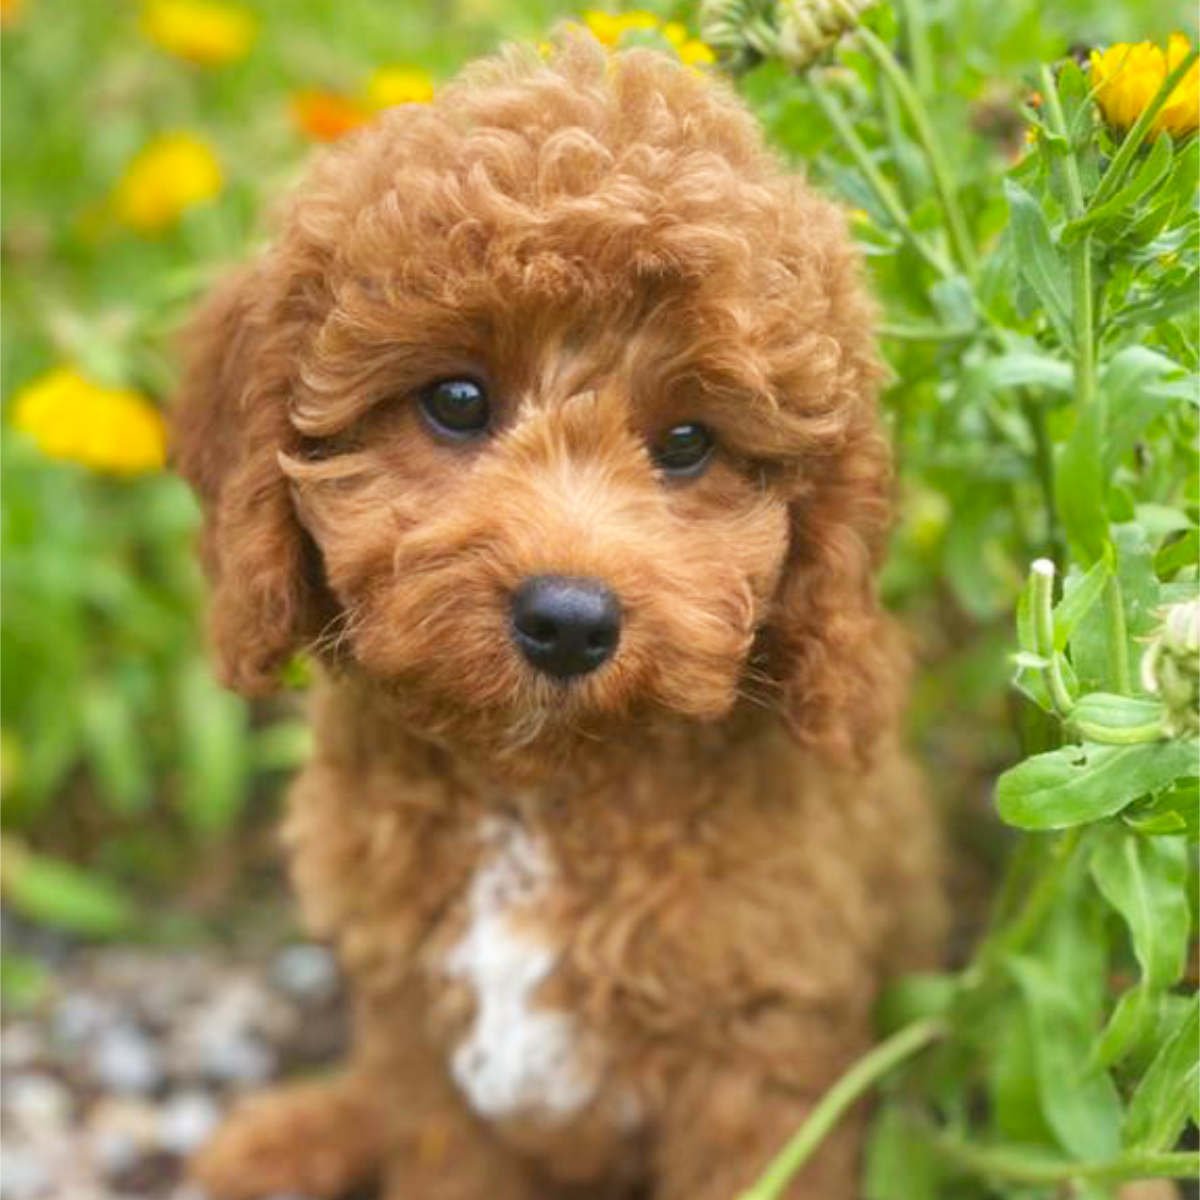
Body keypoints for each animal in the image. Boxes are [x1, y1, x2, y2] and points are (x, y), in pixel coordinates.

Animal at [175, 28, 945, 1200]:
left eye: (688, 443)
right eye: (456, 401)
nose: (572, 621)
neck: (537, 796)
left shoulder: (757, 1045)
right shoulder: (424, 1048)